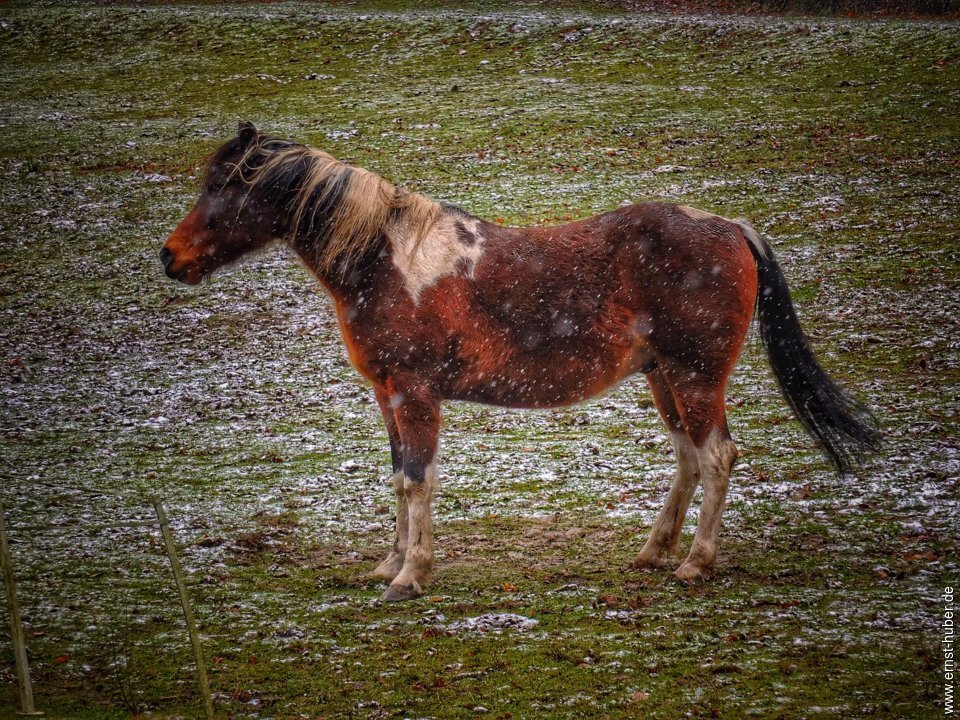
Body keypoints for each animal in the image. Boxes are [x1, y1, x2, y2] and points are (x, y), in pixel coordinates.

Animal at [161, 122, 880, 600]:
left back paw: (695, 563)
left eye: (226, 184)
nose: (171, 257)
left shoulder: (415, 393)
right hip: (665, 380)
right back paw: (653, 552)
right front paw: (390, 564)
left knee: (718, 458)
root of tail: (730, 225)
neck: (388, 261)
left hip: (695, 377)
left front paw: (410, 577)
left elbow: (417, 480)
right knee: (688, 459)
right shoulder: (387, 394)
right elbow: (398, 478)